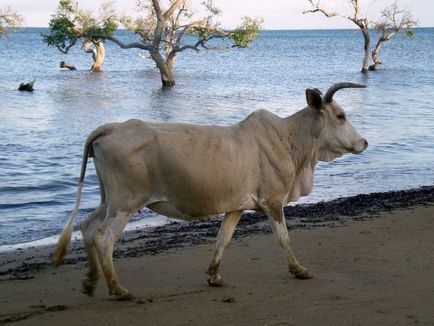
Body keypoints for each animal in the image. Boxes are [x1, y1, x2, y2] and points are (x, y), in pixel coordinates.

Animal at [52, 82, 368, 300]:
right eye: (340, 115)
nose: (364, 142)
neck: (288, 139)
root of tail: (110, 128)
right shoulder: (273, 201)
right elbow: (283, 238)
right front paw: (300, 270)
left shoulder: (236, 206)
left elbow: (222, 239)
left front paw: (214, 276)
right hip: (125, 203)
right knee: (104, 238)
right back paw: (119, 290)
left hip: (110, 200)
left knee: (87, 226)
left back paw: (90, 282)